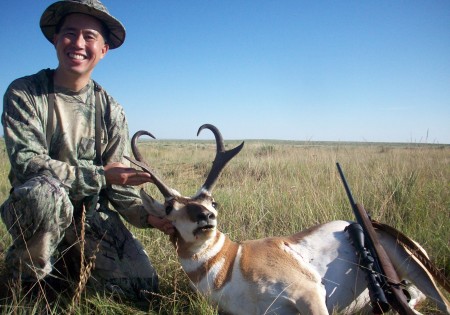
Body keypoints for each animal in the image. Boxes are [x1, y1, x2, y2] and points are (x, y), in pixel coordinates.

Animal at [125, 124, 448, 315]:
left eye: (212, 201)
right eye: (169, 207)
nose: (206, 217)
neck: (231, 264)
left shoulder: (310, 293)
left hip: (412, 266)